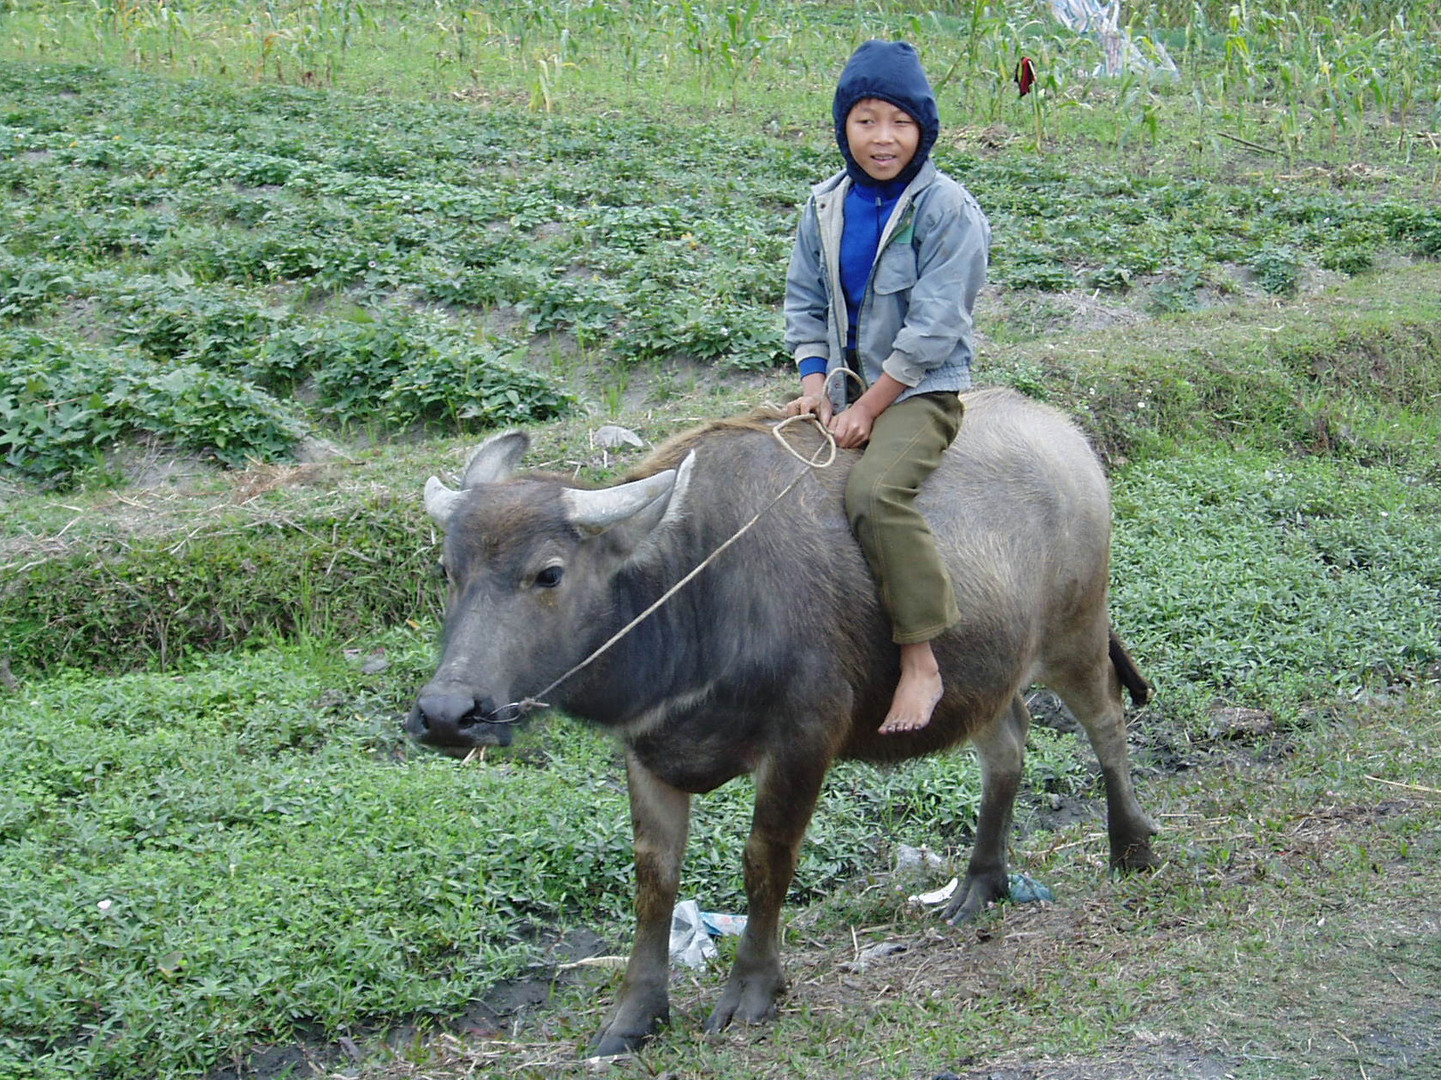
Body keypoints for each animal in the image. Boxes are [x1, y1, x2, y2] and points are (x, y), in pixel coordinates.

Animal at [409, 386, 1158, 1055]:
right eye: (448, 570)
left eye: (549, 573)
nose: (447, 713)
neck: (691, 593)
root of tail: (1067, 437)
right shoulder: (646, 754)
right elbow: (654, 879)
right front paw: (632, 1017)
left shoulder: (803, 741)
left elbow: (766, 859)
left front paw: (752, 990)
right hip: (982, 674)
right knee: (1008, 748)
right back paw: (979, 884)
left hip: (1076, 631)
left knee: (1106, 721)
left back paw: (1131, 847)